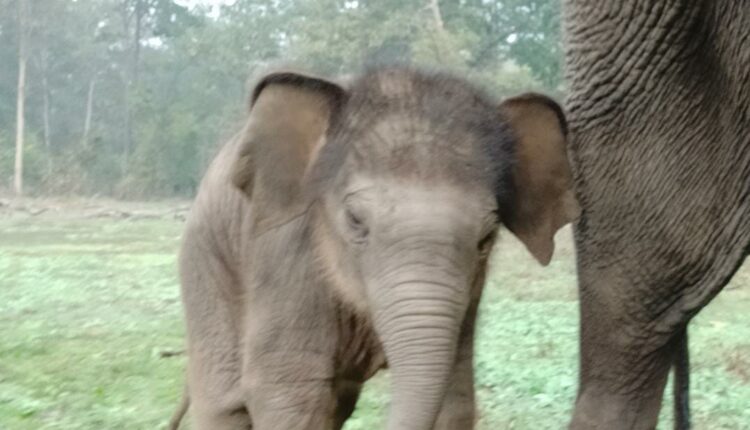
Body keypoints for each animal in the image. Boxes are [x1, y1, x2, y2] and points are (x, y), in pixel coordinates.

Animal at [171, 68, 579, 430]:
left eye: (487, 237)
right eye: (354, 220)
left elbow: (456, 394)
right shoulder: (285, 251)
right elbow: (288, 391)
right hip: (206, 263)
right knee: (225, 403)